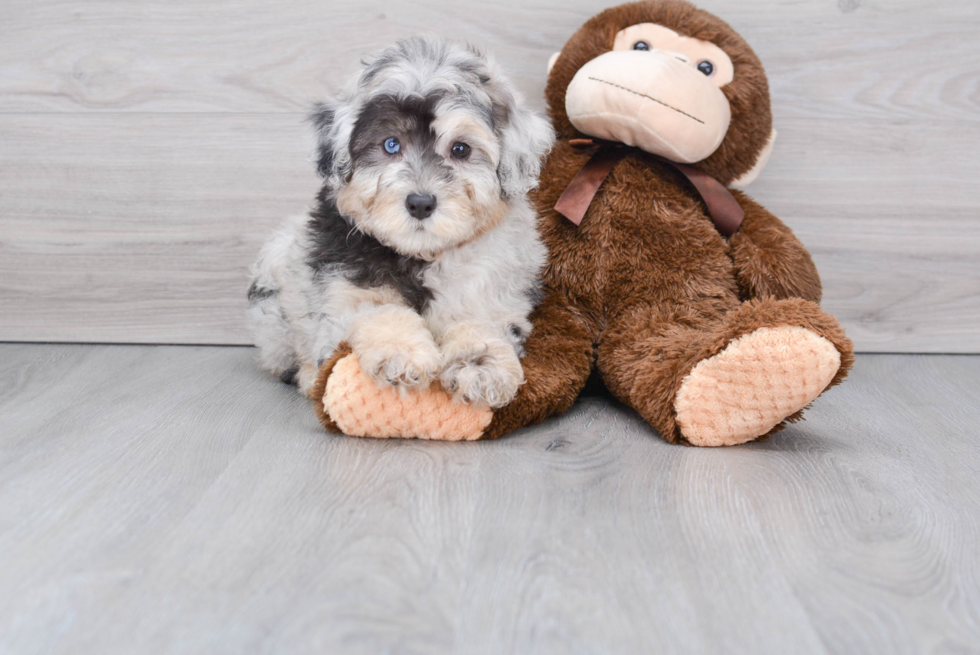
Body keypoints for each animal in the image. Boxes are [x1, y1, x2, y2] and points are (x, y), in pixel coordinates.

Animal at [249, 37, 556, 410]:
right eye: (391, 144)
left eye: (461, 149)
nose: (421, 203)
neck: (420, 255)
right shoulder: (342, 287)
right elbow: (377, 312)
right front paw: (402, 354)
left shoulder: (494, 286)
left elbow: (480, 320)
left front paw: (480, 365)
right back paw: (309, 376)